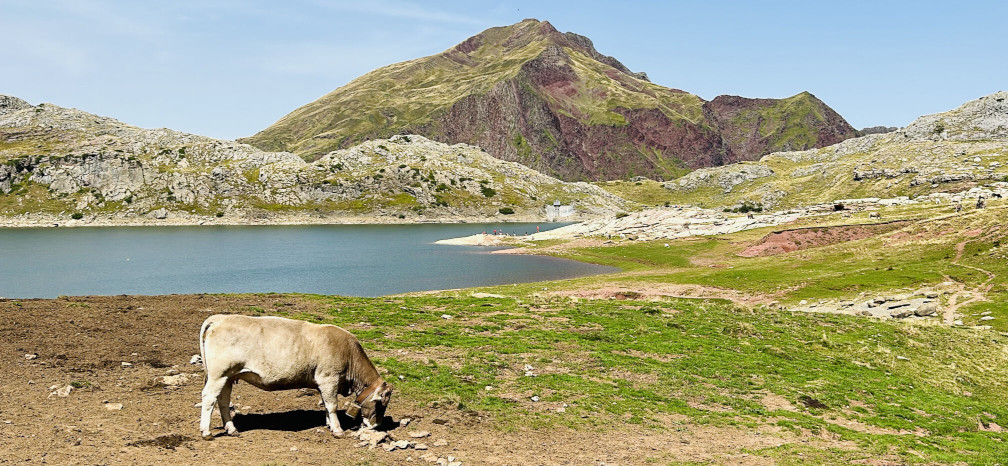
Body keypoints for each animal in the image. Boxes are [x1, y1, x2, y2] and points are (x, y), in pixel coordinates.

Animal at [198, 314, 393, 440]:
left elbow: (325, 404)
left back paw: (231, 429)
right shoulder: (329, 378)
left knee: (223, 400)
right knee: (209, 398)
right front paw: (338, 430)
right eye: (381, 403)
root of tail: (219, 318)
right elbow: (332, 405)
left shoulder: (323, 383)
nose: (377, 425)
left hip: (228, 377)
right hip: (218, 375)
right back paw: (206, 432)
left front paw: (329, 425)